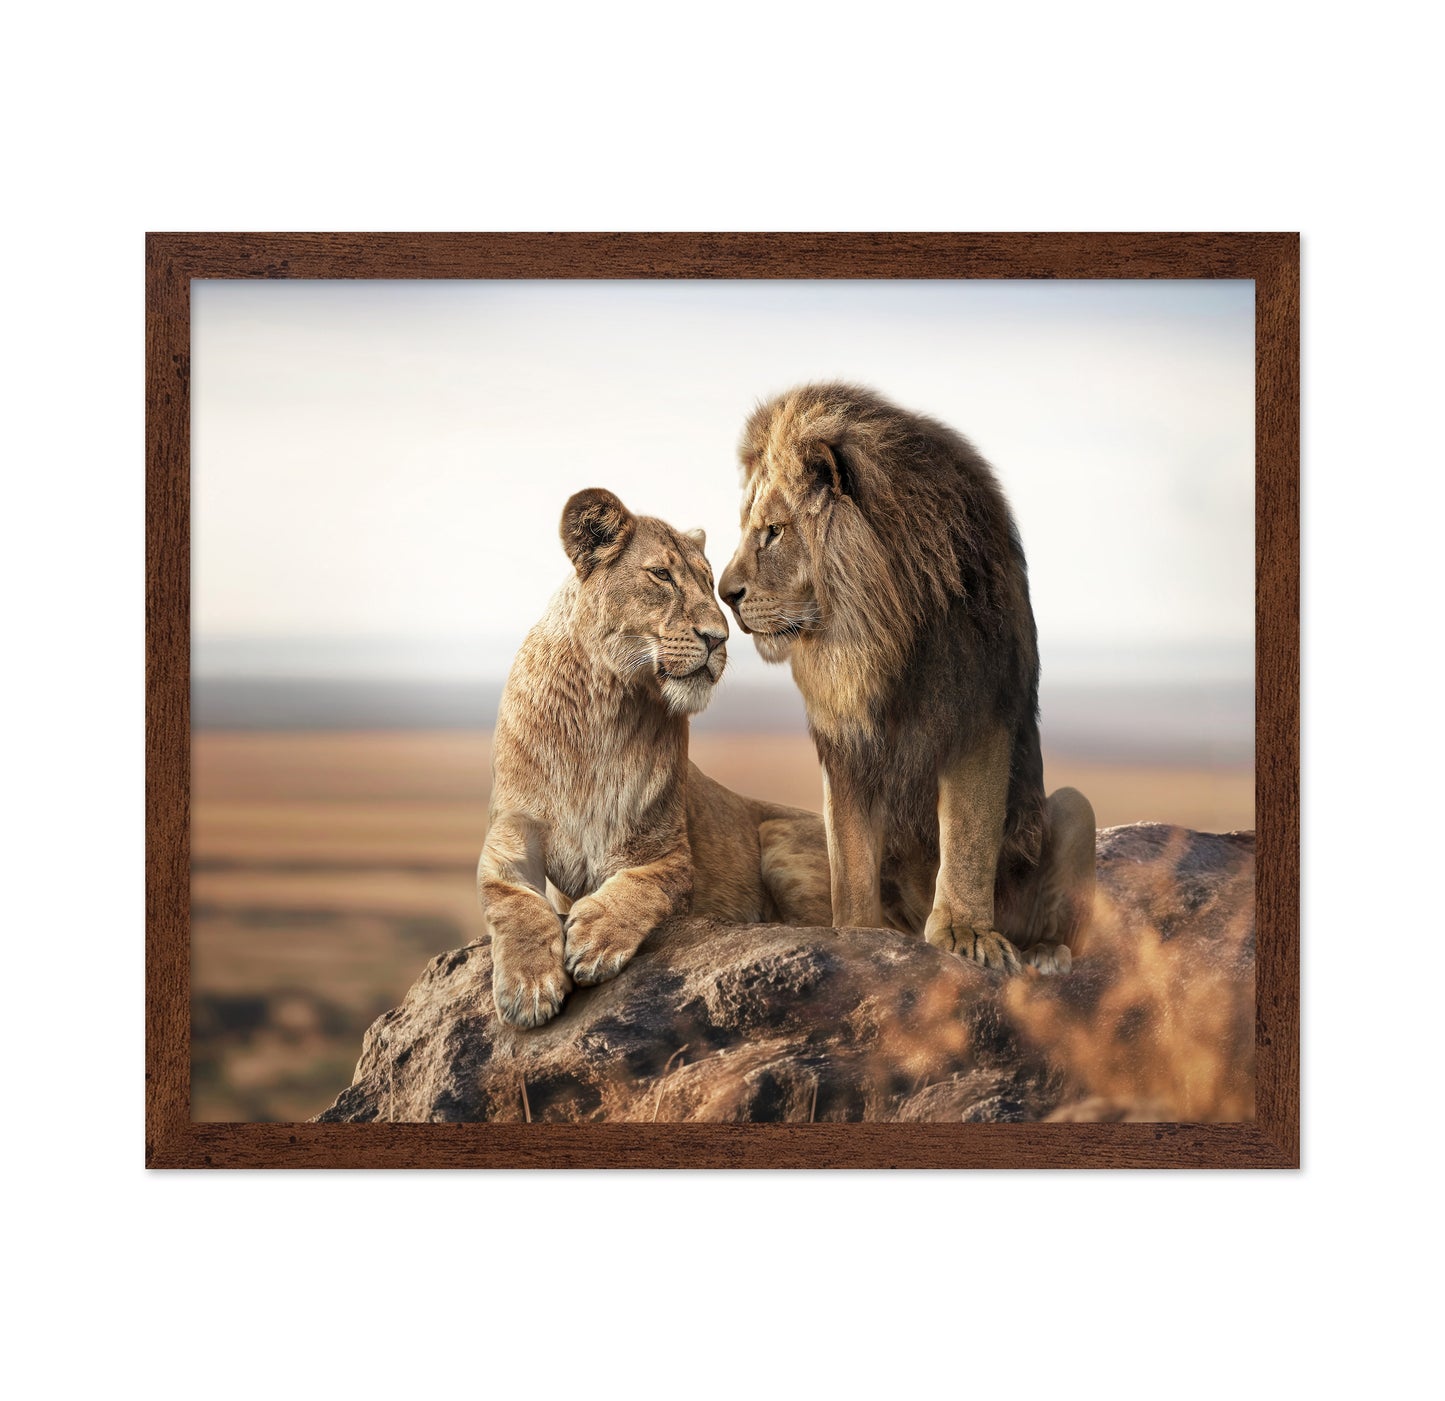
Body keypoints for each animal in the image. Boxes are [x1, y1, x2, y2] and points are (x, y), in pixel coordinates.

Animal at [477, 487, 832, 1028]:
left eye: (709, 583)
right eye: (661, 575)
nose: (719, 638)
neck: (600, 709)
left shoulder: (667, 851)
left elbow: (643, 886)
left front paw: (596, 938)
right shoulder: (509, 836)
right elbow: (513, 901)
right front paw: (528, 985)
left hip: (781, 840)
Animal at [717, 382, 1096, 975]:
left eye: (773, 532)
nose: (723, 593)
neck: (879, 631)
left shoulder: (978, 715)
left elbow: (967, 837)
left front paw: (966, 933)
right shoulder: (845, 745)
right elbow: (849, 858)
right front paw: (855, 934)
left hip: (1077, 806)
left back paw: (1043, 953)